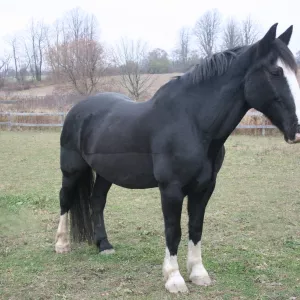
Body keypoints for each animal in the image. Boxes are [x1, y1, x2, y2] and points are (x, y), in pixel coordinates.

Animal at [55, 24, 298, 292]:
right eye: (275, 71)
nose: (297, 129)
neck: (192, 122)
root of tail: (78, 109)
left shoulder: (204, 187)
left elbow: (196, 228)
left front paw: (199, 273)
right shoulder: (171, 189)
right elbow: (173, 230)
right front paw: (174, 278)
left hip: (106, 173)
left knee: (97, 202)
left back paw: (104, 246)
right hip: (72, 169)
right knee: (65, 199)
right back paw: (61, 245)